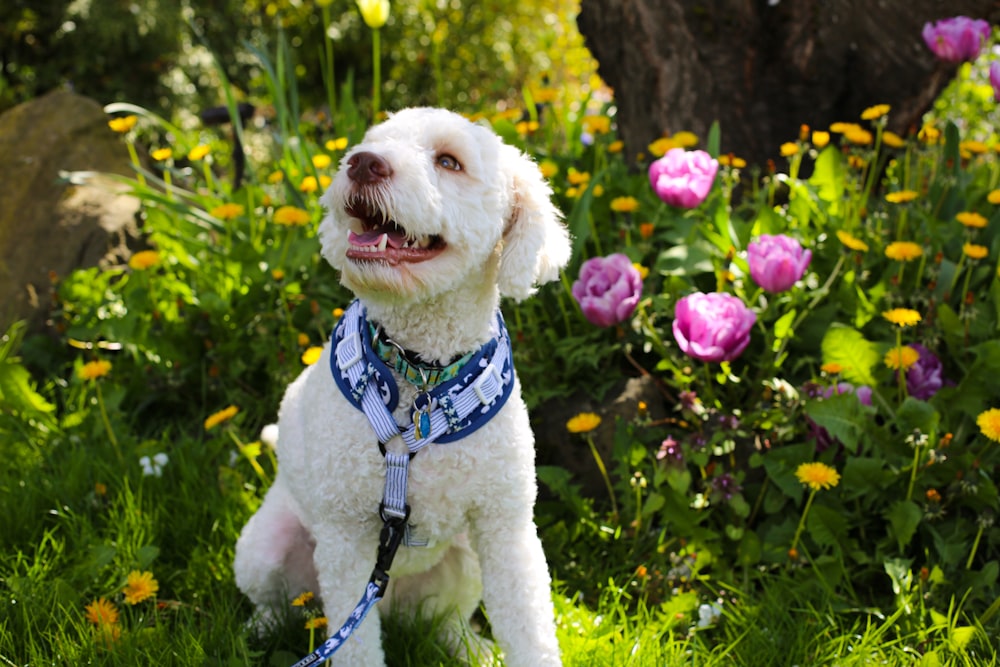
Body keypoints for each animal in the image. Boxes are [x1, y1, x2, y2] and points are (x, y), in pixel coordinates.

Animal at [235, 107, 576, 664]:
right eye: (372, 143)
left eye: (449, 161)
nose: (362, 164)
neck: (422, 373)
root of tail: (391, 598)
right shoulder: (346, 536)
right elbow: (355, 647)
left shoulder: (506, 528)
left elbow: (530, 630)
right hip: (265, 548)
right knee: (279, 604)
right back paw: (259, 634)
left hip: (466, 561)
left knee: (444, 616)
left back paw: (467, 645)